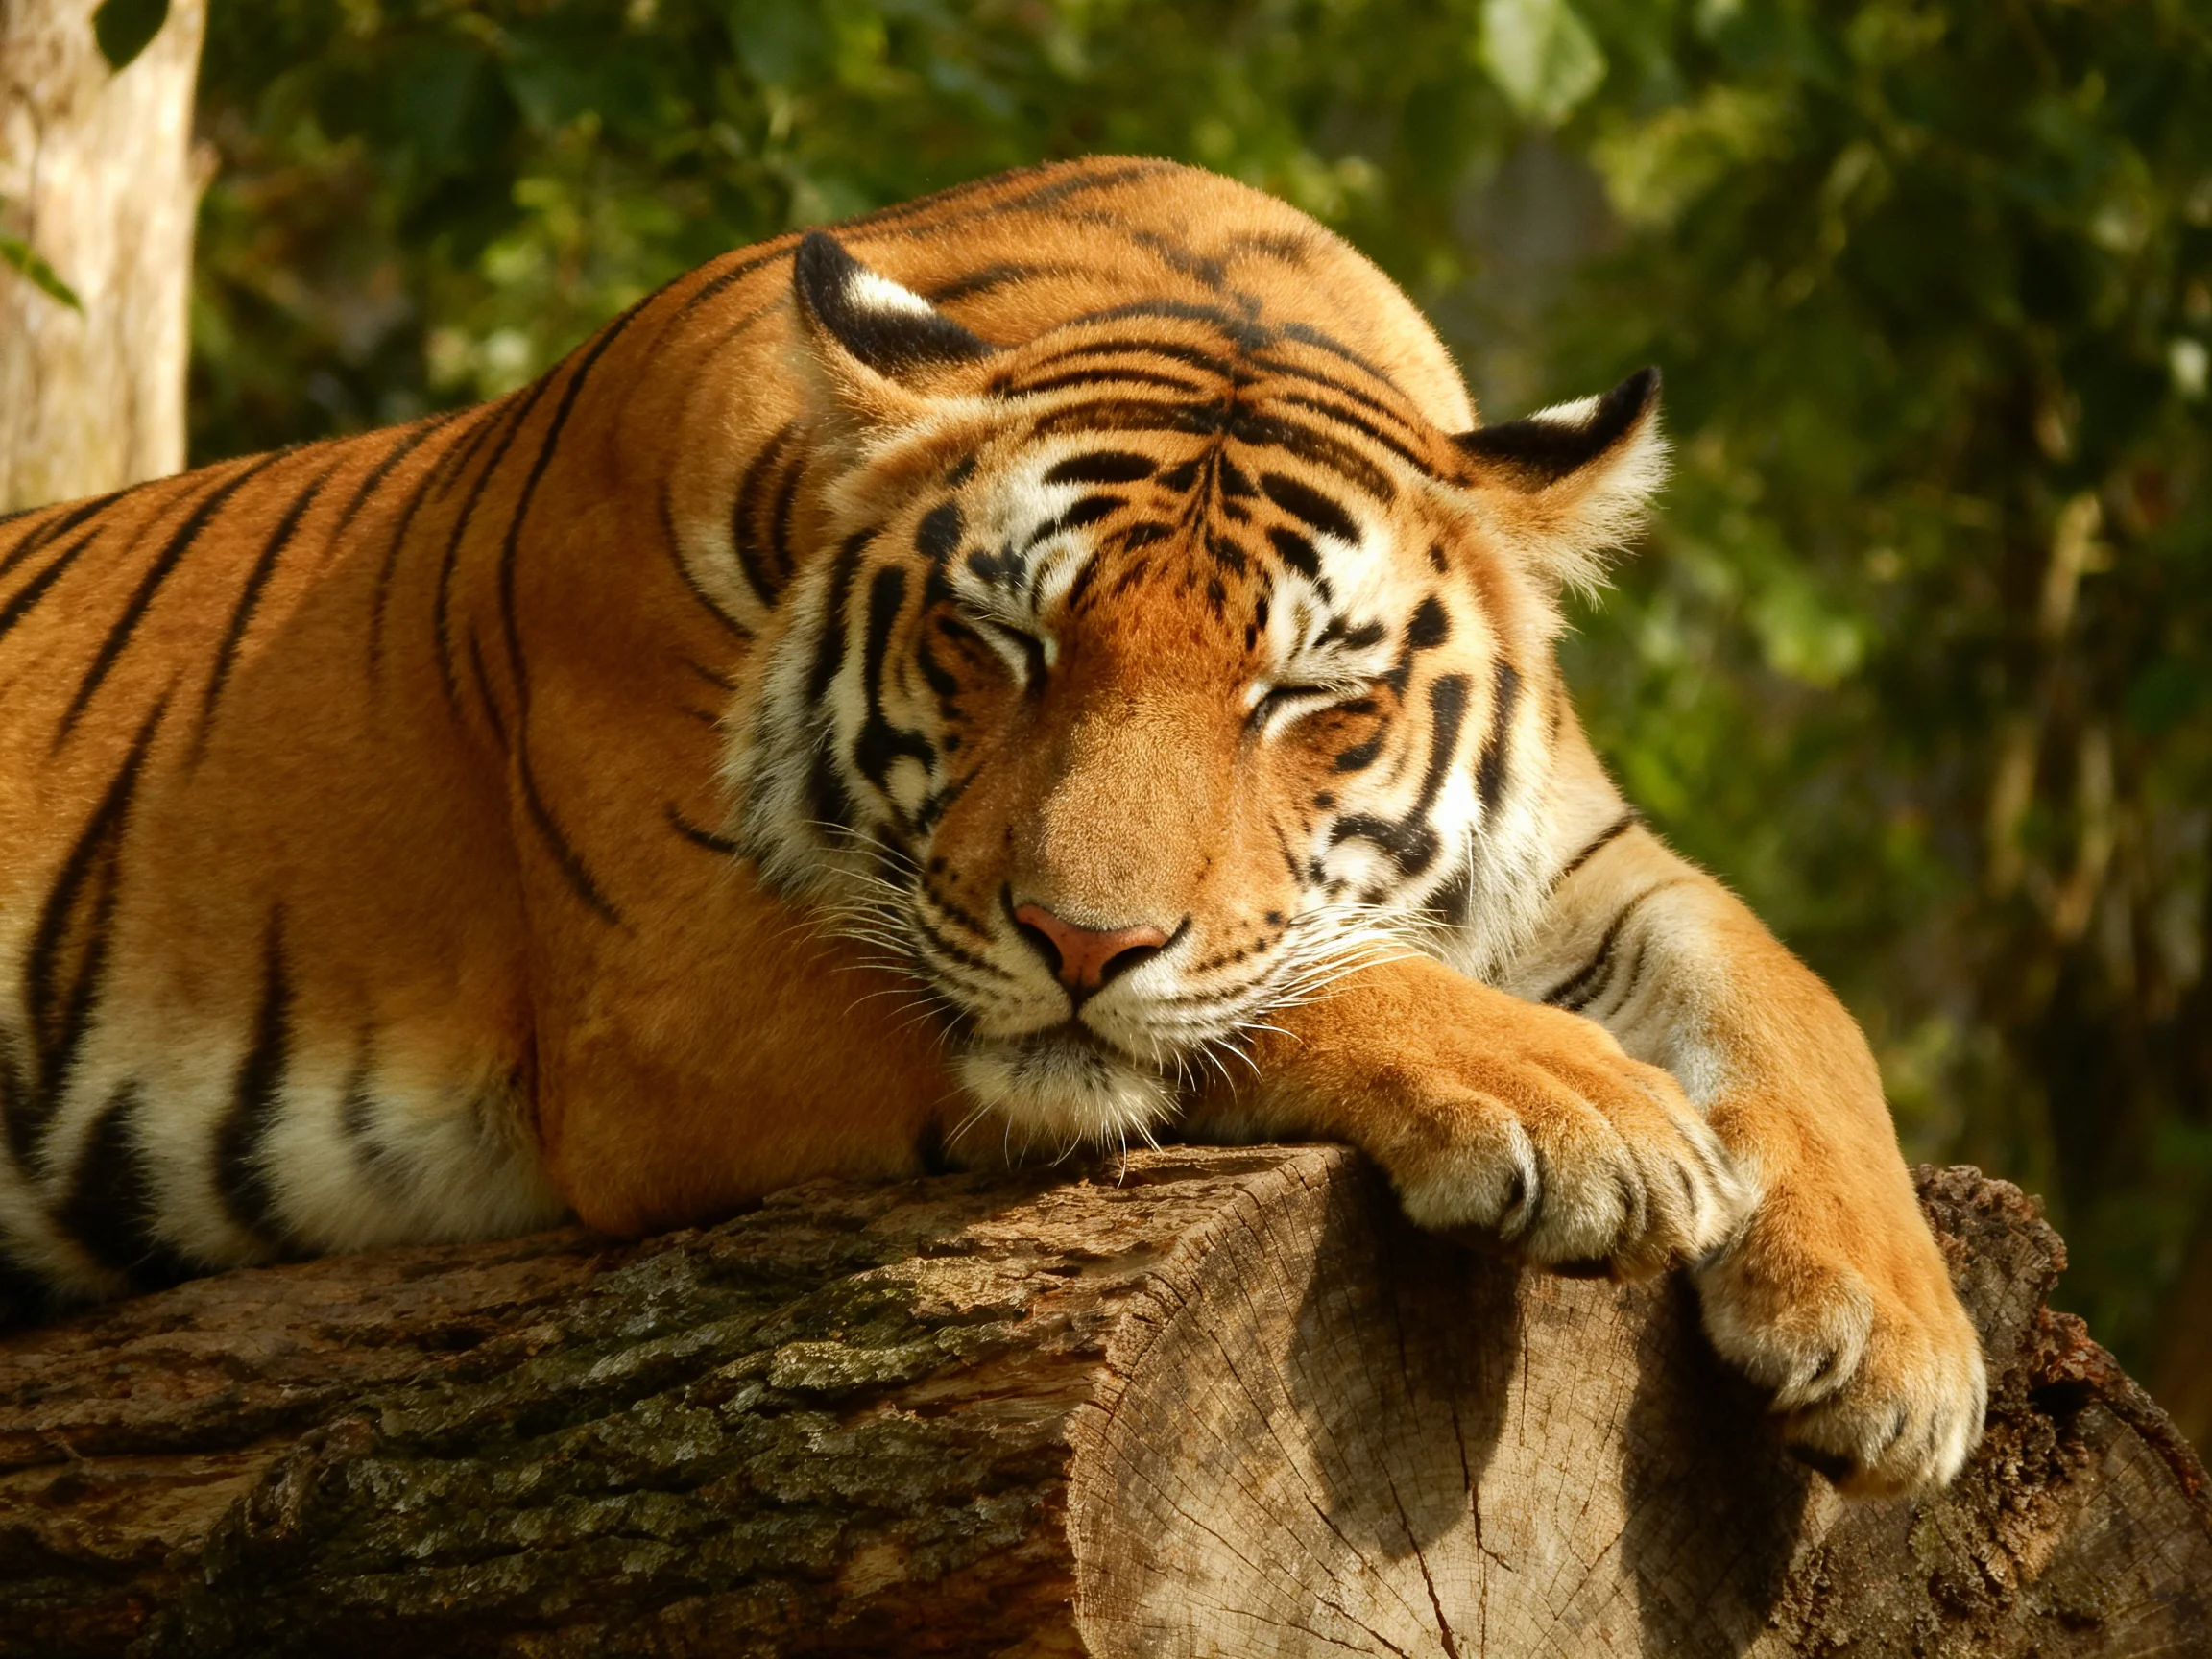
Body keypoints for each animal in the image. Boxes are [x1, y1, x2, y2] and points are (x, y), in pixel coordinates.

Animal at [0, 156, 1985, 1491]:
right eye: (999, 644)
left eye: (1301, 697)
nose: (1080, 941)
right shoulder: (673, 985)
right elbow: (1282, 991)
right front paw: (1588, 1114)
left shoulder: (1581, 851)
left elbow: (1783, 981)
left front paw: (1898, 1345)